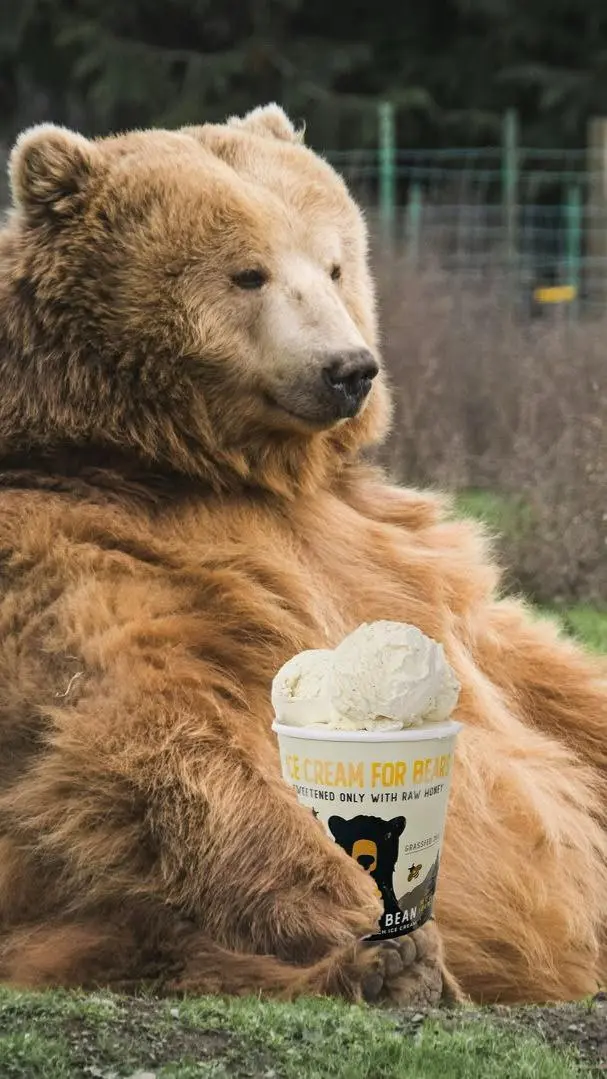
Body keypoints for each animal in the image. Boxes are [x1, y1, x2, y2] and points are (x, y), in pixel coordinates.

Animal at [0, 103, 604, 1006]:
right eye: (247, 272)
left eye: (333, 263)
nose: (349, 367)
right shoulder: (90, 549)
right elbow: (157, 733)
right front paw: (387, 943)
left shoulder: (396, 549)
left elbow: (544, 675)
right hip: (67, 912)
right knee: (152, 936)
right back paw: (377, 968)